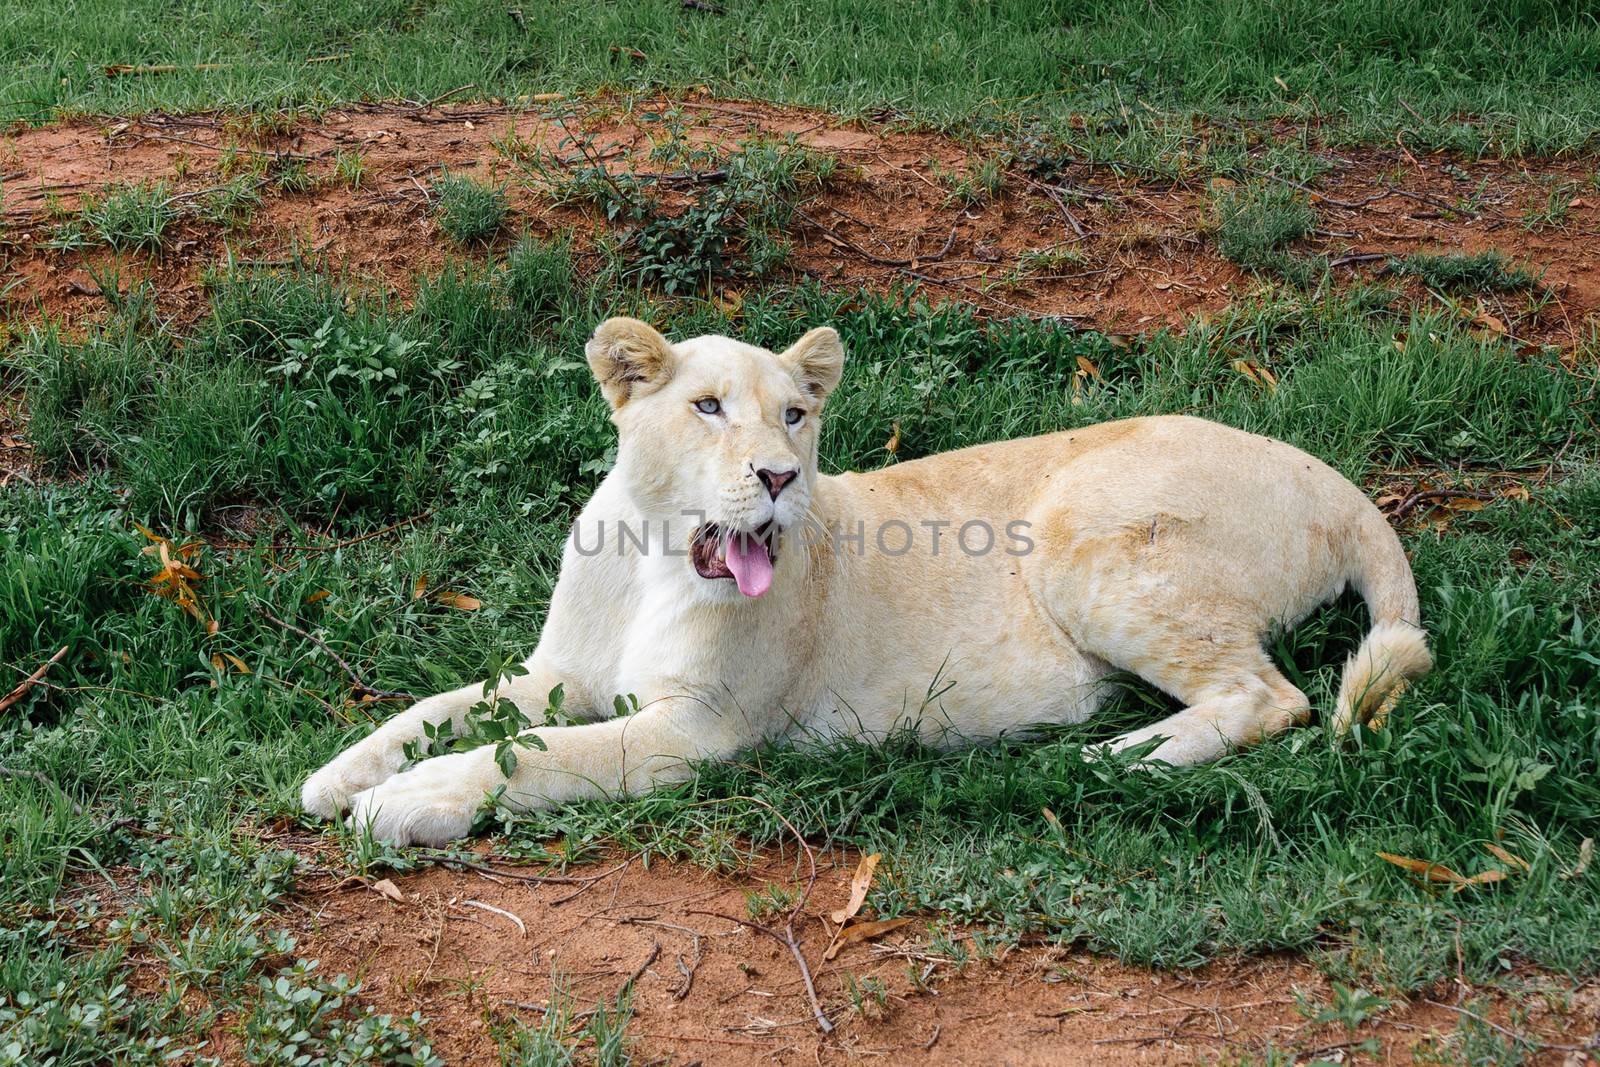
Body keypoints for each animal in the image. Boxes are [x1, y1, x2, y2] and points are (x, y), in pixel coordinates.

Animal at [305, 316, 1433, 844]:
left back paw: (1109, 760)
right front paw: (339, 776)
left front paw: (407, 804)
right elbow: (443, 708)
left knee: (1271, 696)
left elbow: (529, 755)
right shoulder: (562, 673)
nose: (779, 476)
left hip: (1079, 525)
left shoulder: (699, 728)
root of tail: (1328, 474)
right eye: (708, 407)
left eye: (796, 415)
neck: (654, 552)